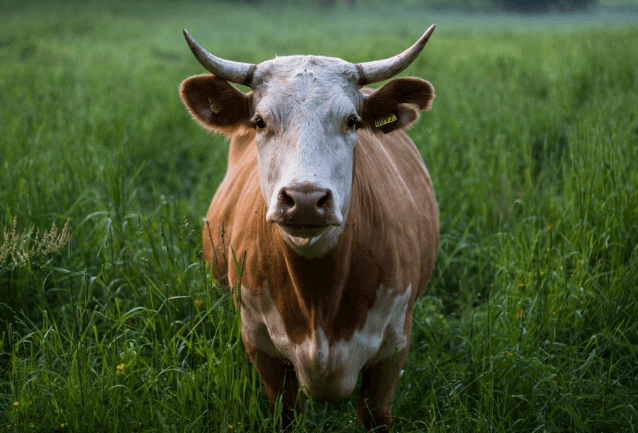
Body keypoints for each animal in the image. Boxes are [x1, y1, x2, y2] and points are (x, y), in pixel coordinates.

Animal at [179, 26, 440, 428]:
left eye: (352, 121)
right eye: (259, 121)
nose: (304, 199)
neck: (319, 297)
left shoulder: (392, 350)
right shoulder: (261, 347)